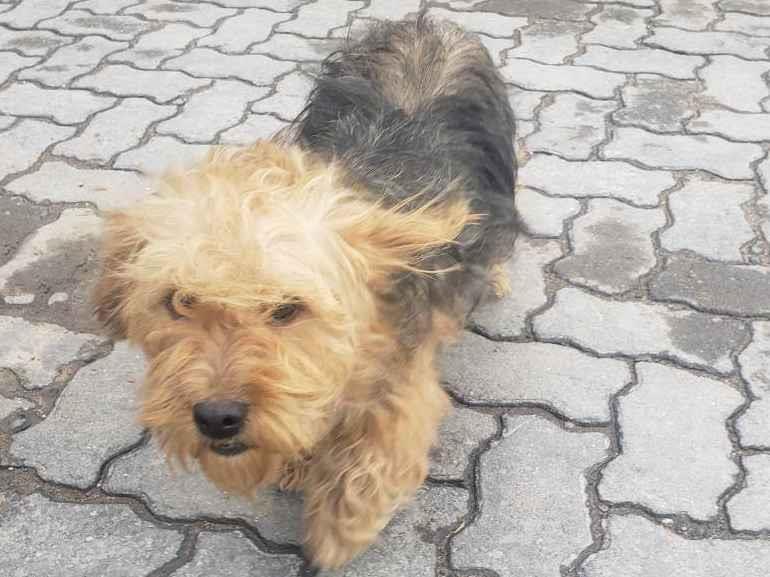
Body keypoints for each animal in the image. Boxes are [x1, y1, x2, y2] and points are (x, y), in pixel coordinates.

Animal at [93, 16, 516, 569]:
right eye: (178, 301)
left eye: (287, 310)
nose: (217, 418)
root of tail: (425, 22)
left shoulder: (399, 379)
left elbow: (376, 454)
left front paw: (338, 529)